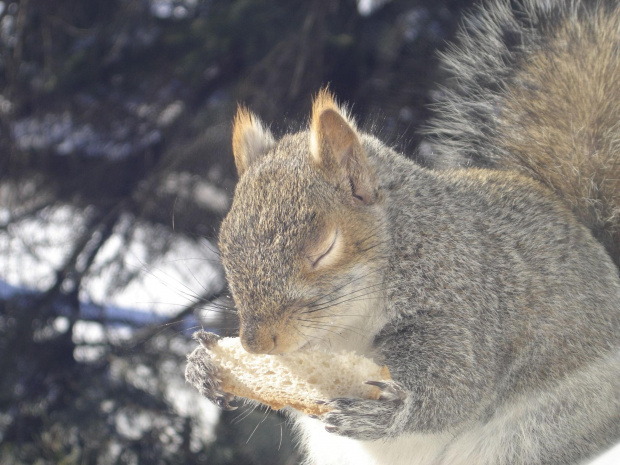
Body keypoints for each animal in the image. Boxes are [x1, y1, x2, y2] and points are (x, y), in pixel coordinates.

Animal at [185, 0, 620, 464]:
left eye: (324, 249)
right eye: (224, 246)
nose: (256, 345)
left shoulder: (464, 298)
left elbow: (457, 379)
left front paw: (388, 414)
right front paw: (203, 363)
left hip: (536, 430)